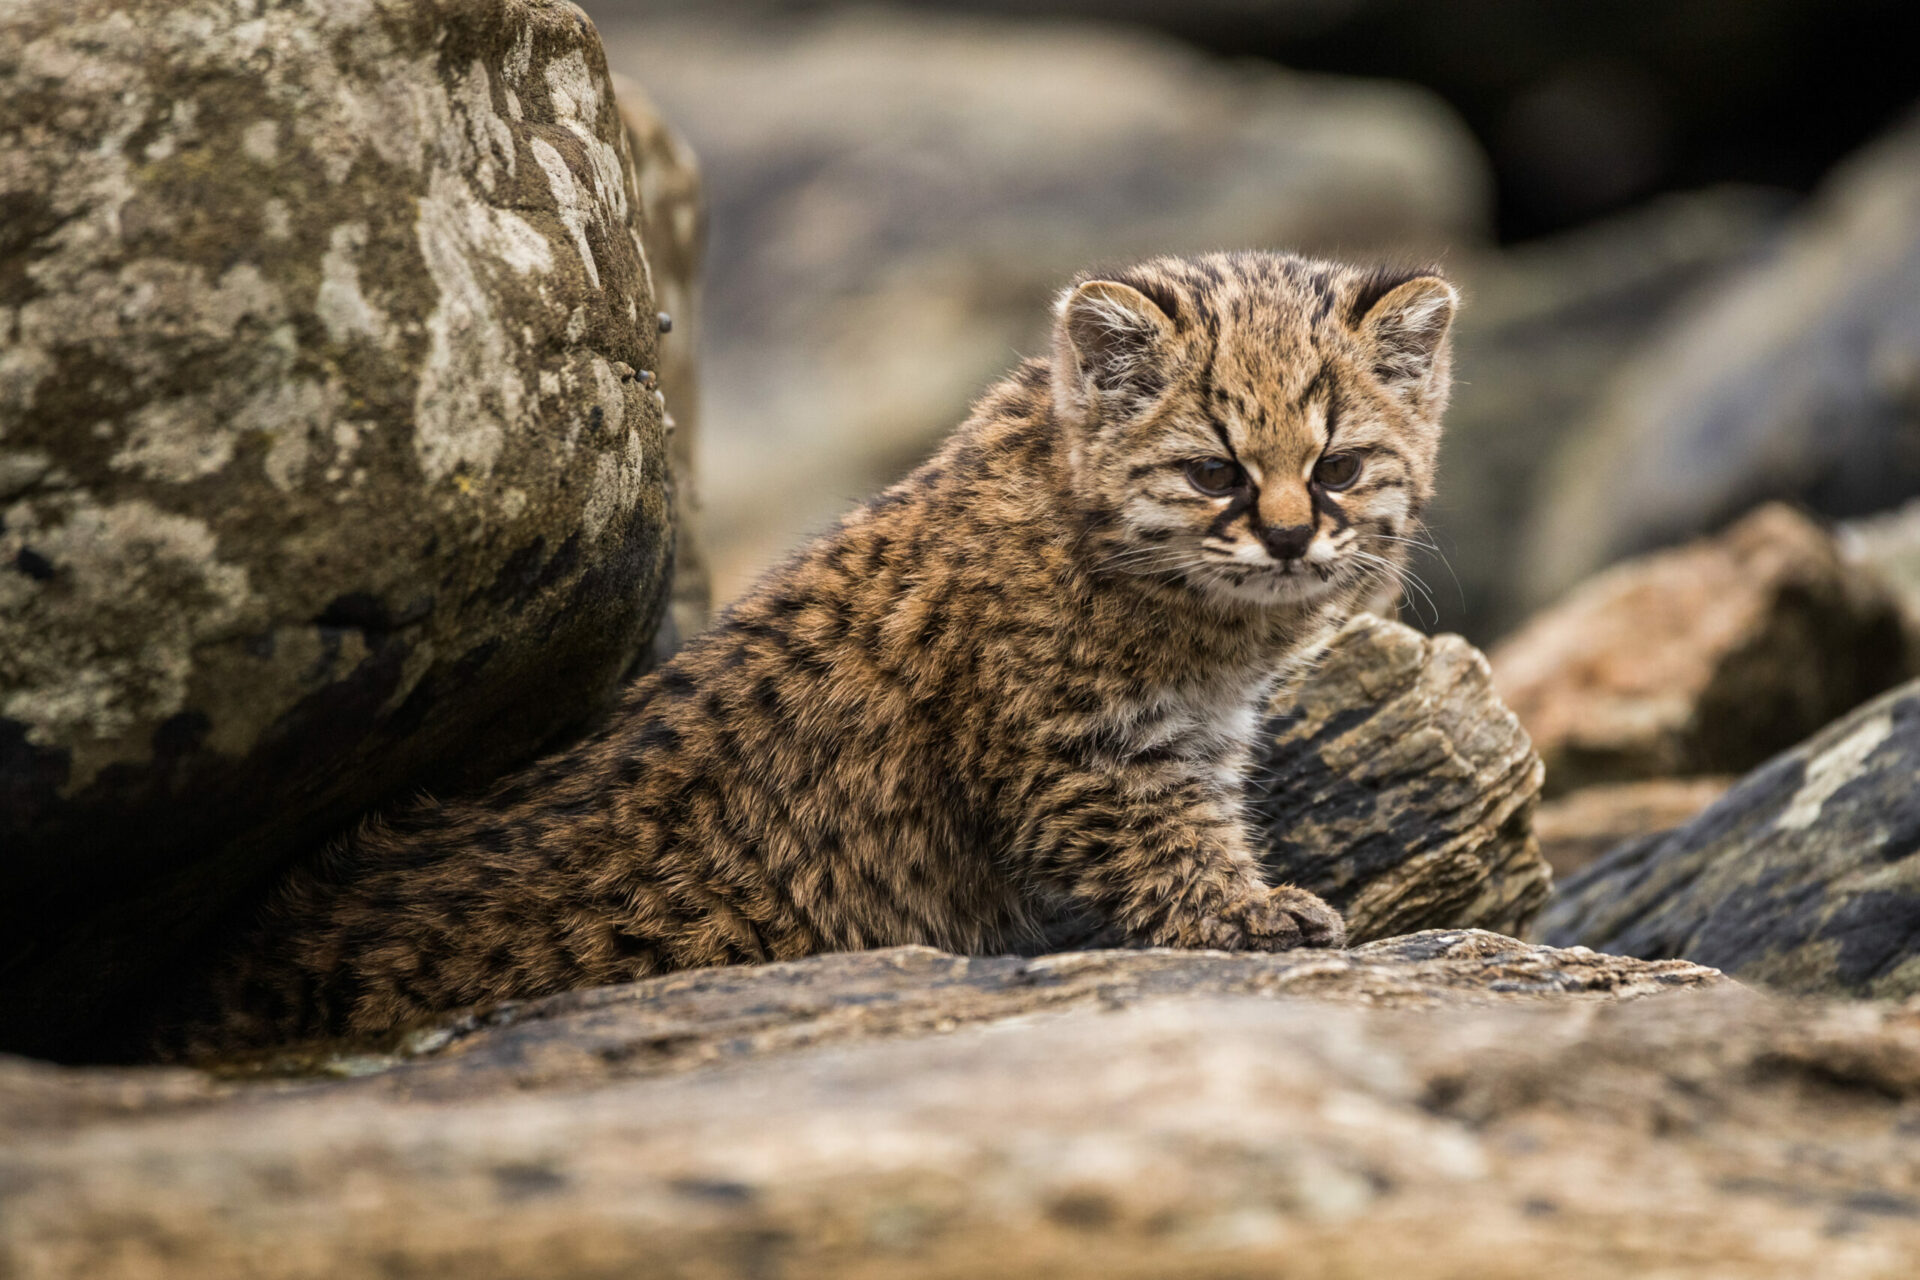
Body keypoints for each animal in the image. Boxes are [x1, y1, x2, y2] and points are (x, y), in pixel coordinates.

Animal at [172, 253, 1451, 1059]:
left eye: (1338, 467)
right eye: (1214, 471)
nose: (1288, 535)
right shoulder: (1079, 762)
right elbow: (1169, 854)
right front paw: (1256, 913)